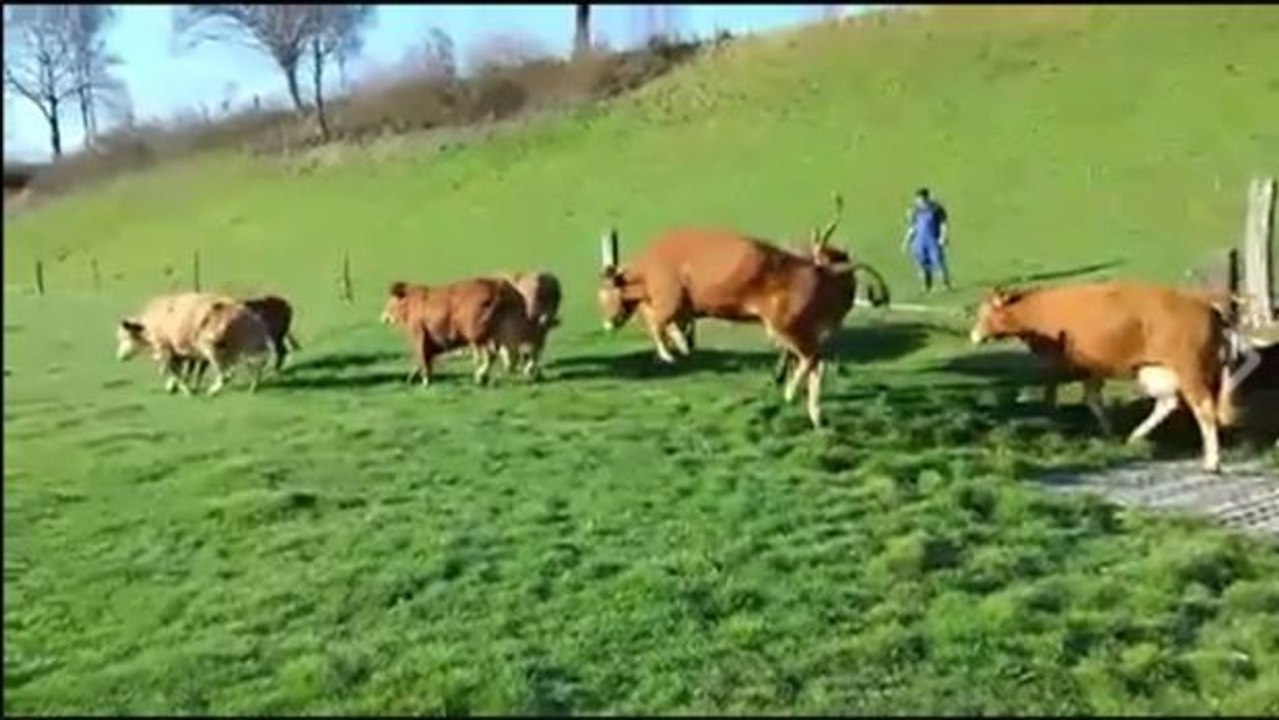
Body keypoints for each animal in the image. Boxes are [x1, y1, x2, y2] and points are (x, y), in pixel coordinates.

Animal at [115, 291, 272, 396]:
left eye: (125, 337)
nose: (119, 357)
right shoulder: (178, 352)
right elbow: (182, 371)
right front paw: (175, 386)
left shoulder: (166, 349)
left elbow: (173, 371)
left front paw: (185, 390)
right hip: (240, 347)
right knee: (253, 366)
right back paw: (253, 387)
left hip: (211, 345)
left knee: (227, 375)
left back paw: (213, 391)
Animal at [380, 277, 537, 387]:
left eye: (390, 301)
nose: (383, 317)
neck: (412, 302)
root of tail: (501, 287)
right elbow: (424, 361)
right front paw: (414, 378)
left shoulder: (418, 335)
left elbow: (421, 359)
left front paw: (424, 381)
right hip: (499, 334)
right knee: (510, 355)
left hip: (479, 335)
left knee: (493, 355)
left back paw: (481, 376)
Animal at [595, 195, 891, 428]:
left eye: (605, 295)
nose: (608, 324)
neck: (648, 268)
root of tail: (817, 267)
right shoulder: (681, 310)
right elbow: (671, 327)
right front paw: (680, 346)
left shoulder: (669, 301)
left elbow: (656, 324)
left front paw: (669, 353)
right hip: (800, 331)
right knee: (815, 363)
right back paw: (814, 412)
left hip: (787, 328)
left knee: (811, 360)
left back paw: (791, 393)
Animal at [968, 281, 1240, 472]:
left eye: (984, 312)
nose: (974, 335)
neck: (1035, 310)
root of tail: (1209, 308)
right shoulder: (1093, 367)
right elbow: (1092, 399)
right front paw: (1108, 432)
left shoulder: (1058, 364)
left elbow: (1051, 394)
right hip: (1157, 370)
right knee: (1169, 403)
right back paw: (1135, 436)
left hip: (1189, 371)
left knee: (1204, 410)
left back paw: (1212, 462)